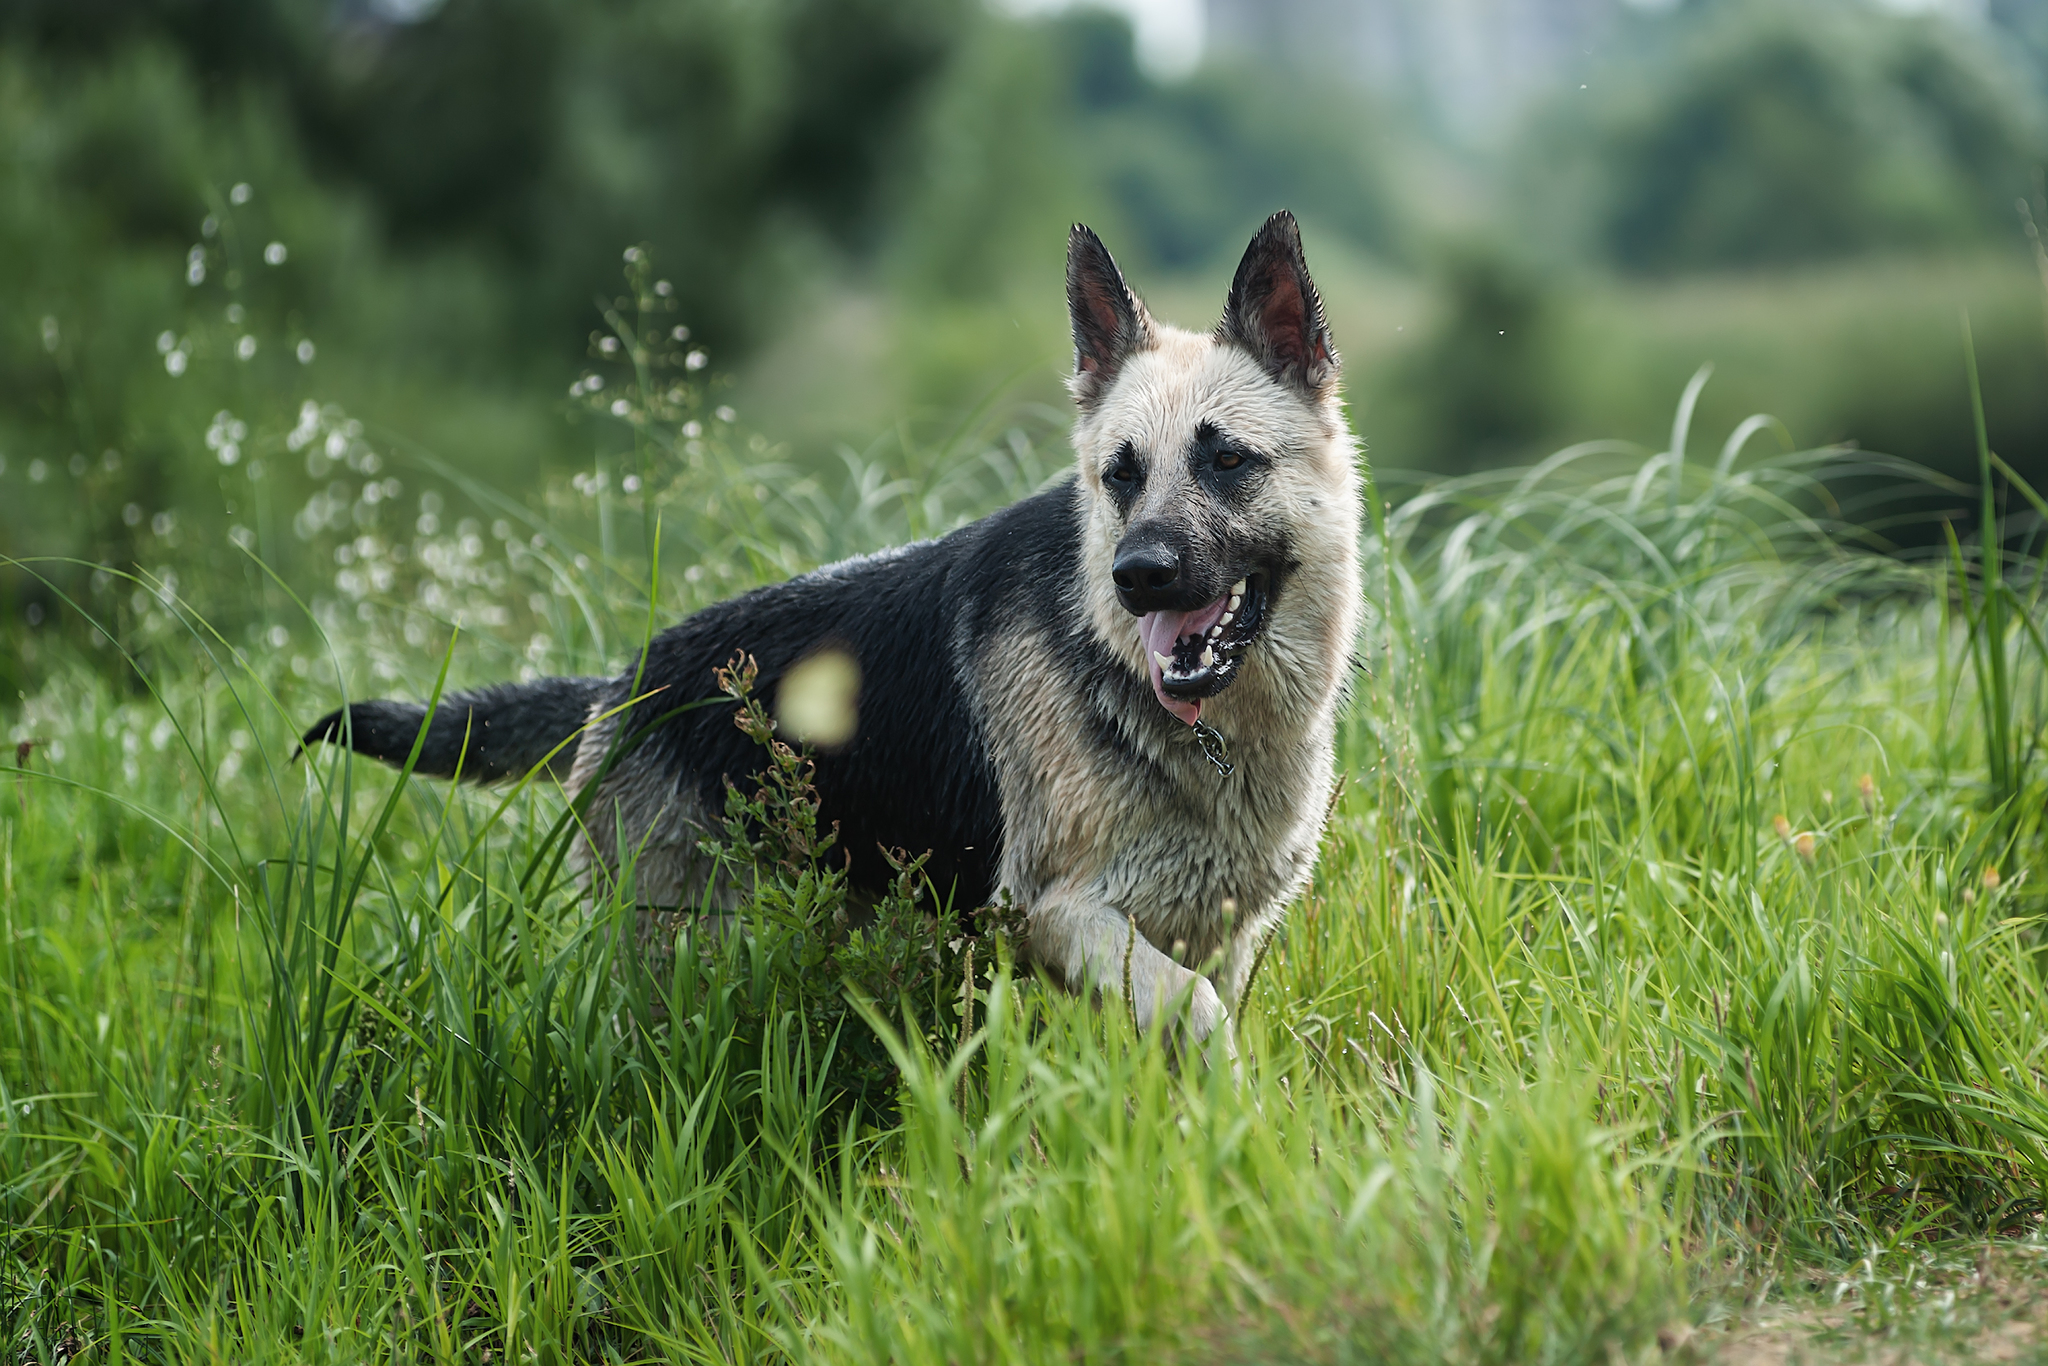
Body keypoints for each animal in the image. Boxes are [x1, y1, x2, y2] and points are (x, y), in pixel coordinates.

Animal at [303, 210, 1359, 1048]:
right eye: (1120, 475)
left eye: (1227, 461)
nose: (1136, 578)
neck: (1211, 734)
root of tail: (622, 685)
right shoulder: (1063, 917)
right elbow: (1200, 1017)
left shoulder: (1215, 941)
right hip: (682, 960)